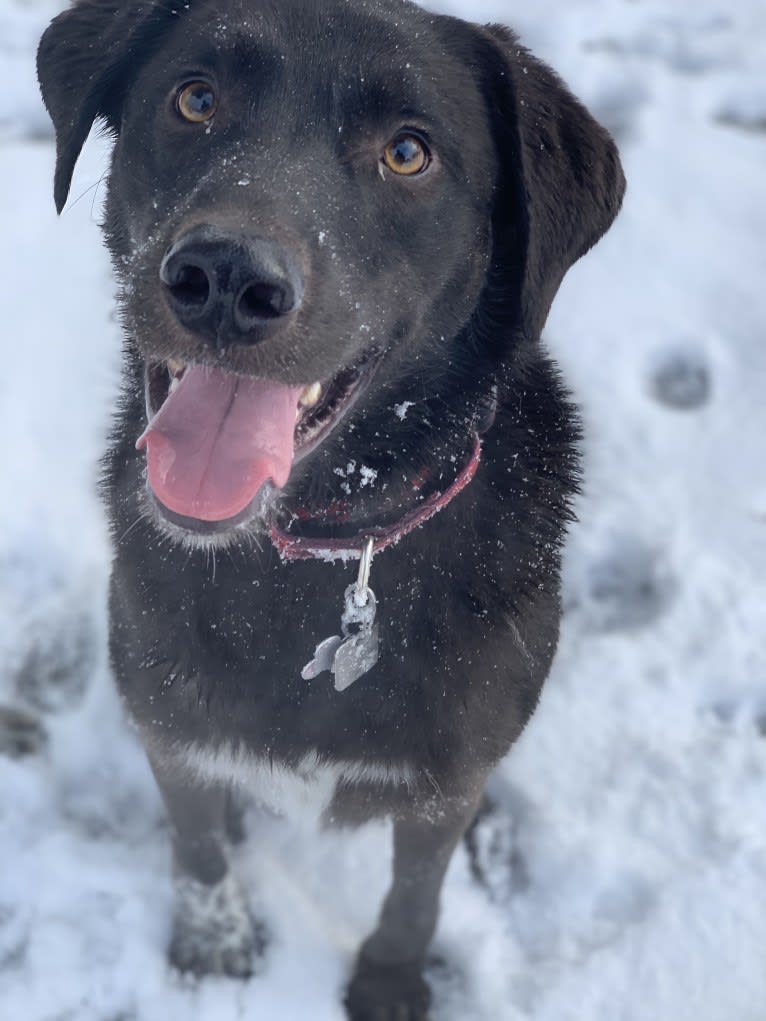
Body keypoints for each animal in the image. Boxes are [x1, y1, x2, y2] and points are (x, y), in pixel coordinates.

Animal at [34, 1, 625, 1012]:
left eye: (408, 153)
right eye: (195, 98)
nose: (227, 280)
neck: (322, 547)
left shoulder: (442, 783)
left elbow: (417, 888)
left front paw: (390, 978)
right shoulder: (170, 731)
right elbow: (196, 845)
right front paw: (215, 946)